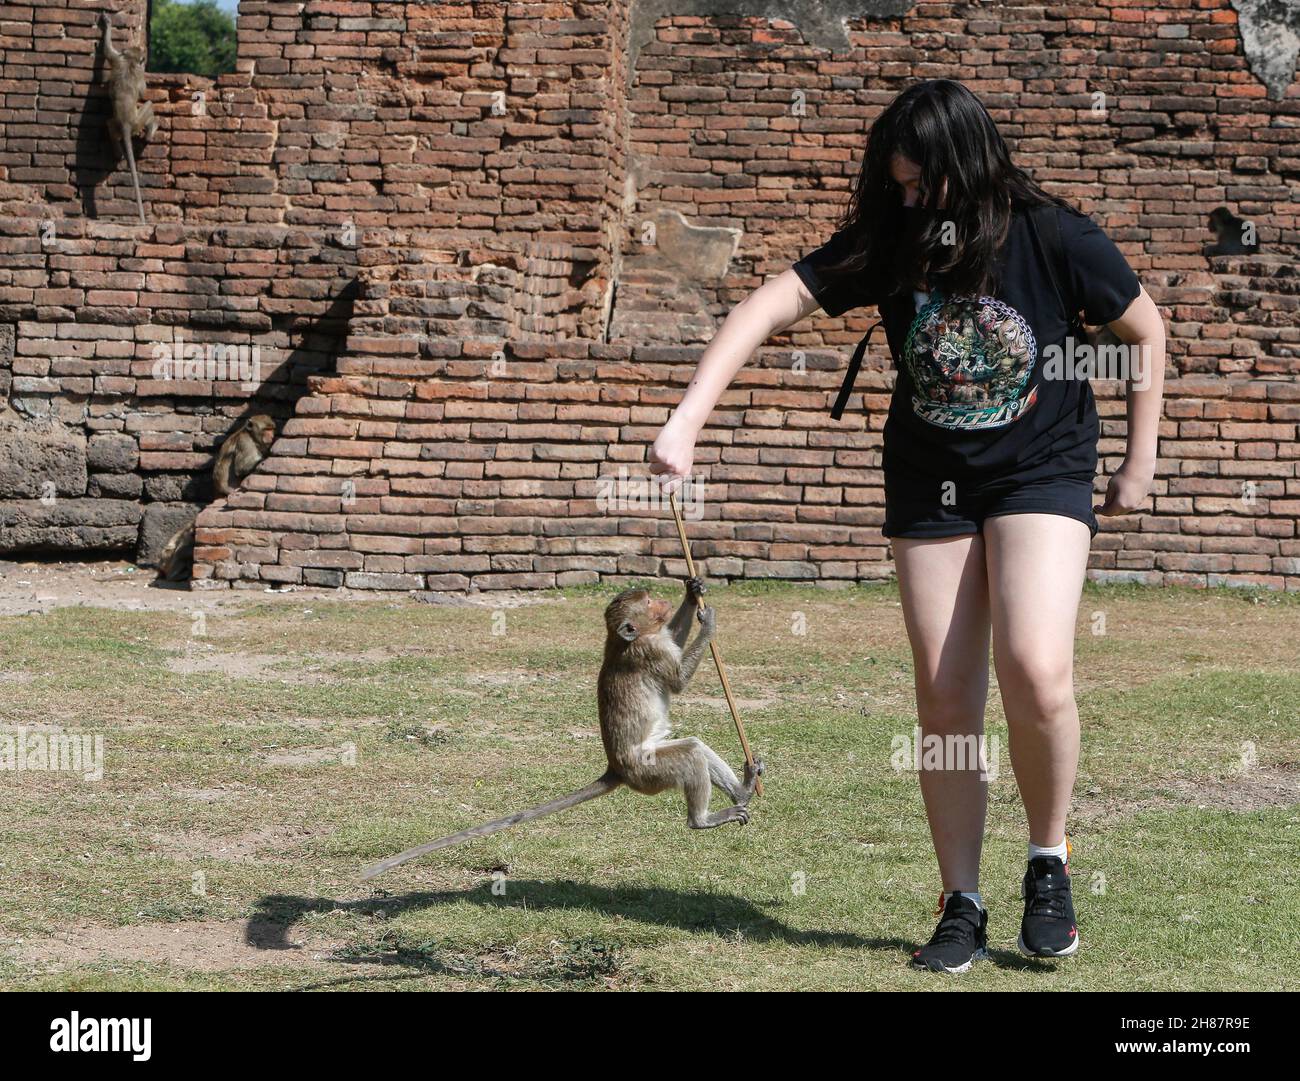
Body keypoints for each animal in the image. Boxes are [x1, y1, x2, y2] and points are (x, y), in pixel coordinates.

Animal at [98, 12, 156, 226]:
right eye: (141, 58)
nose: (143, 60)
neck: (130, 61)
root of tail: (126, 124)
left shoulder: (118, 59)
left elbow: (108, 52)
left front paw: (107, 24)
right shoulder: (137, 73)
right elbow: (144, 92)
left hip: (116, 123)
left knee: (109, 124)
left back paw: (117, 151)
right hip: (138, 121)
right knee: (149, 106)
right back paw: (151, 130)